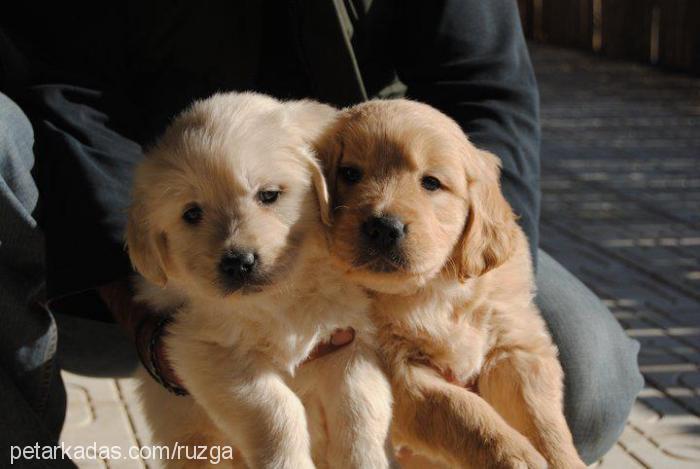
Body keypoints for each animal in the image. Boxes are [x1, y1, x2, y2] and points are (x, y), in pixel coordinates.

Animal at [127, 92, 394, 468]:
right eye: (192, 213)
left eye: (268, 195)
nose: (238, 263)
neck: (282, 297)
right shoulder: (205, 350)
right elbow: (276, 411)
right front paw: (287, 462)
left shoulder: (355, 340)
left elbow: (361, 411)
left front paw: (365, 459)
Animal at [316, 99, 584, 468]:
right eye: (350, 173)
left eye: (431, 183)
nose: (383, 228)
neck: (436, 292)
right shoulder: (402, 372)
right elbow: (464, 410)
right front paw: (514, 454)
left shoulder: (515, 345)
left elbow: (542, 418)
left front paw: (561, 458)